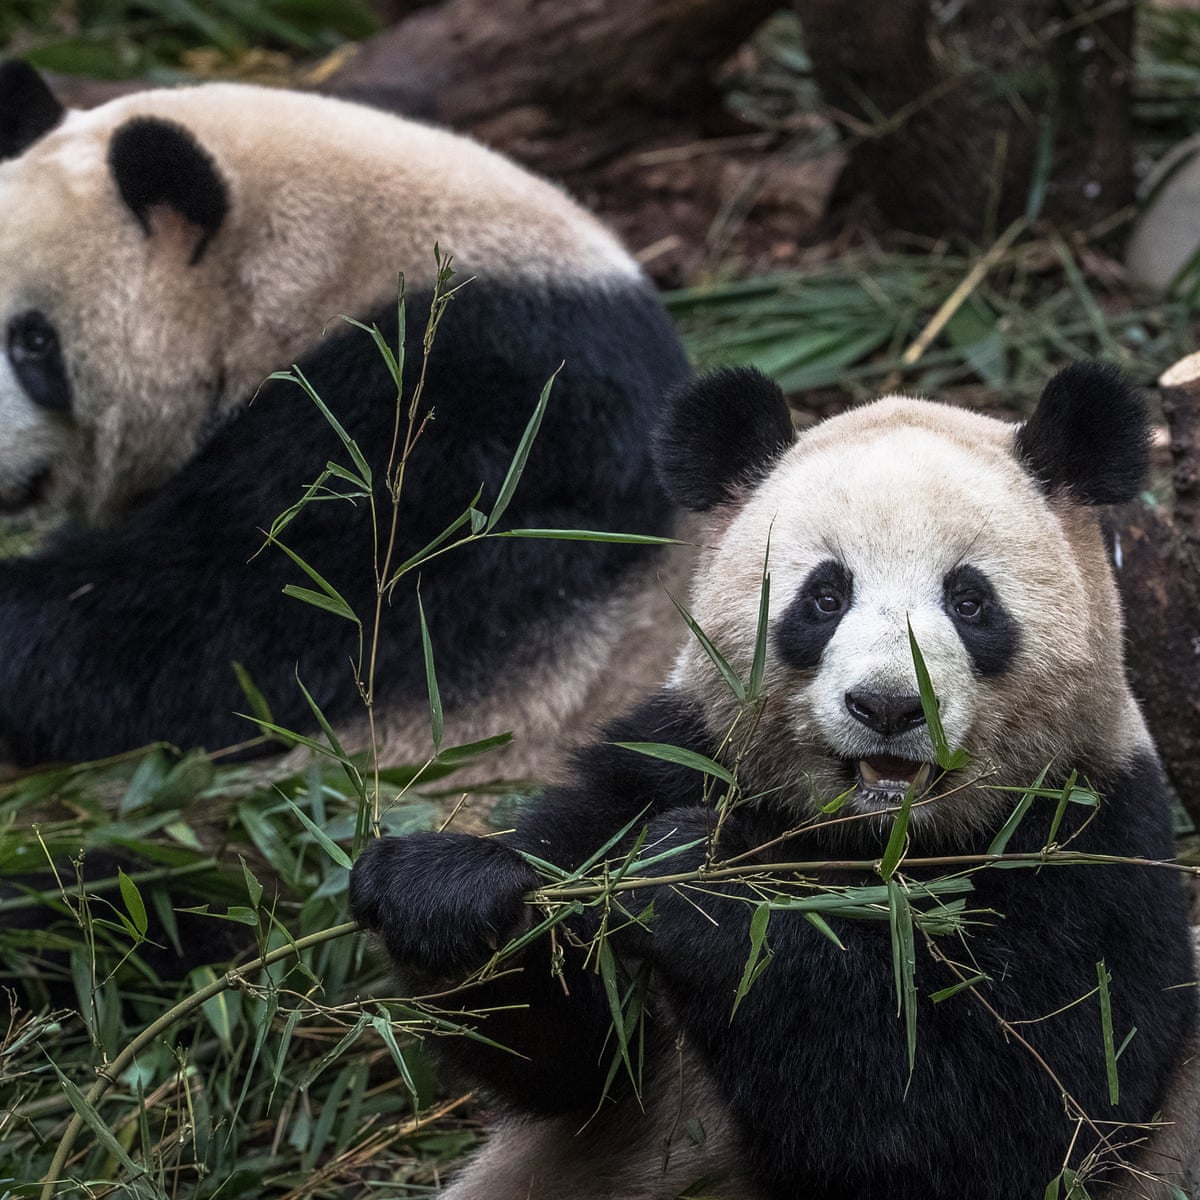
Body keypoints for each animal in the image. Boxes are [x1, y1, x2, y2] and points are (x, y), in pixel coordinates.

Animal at [349, 363, 1199, 1199]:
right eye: (824, 597)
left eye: (970, 600)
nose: (888, 706)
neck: (875, 840)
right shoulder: (673, 759)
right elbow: (574, 1060)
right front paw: (448, 895)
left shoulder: (1089, 848)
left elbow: (1015, 1118)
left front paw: (699, 886)